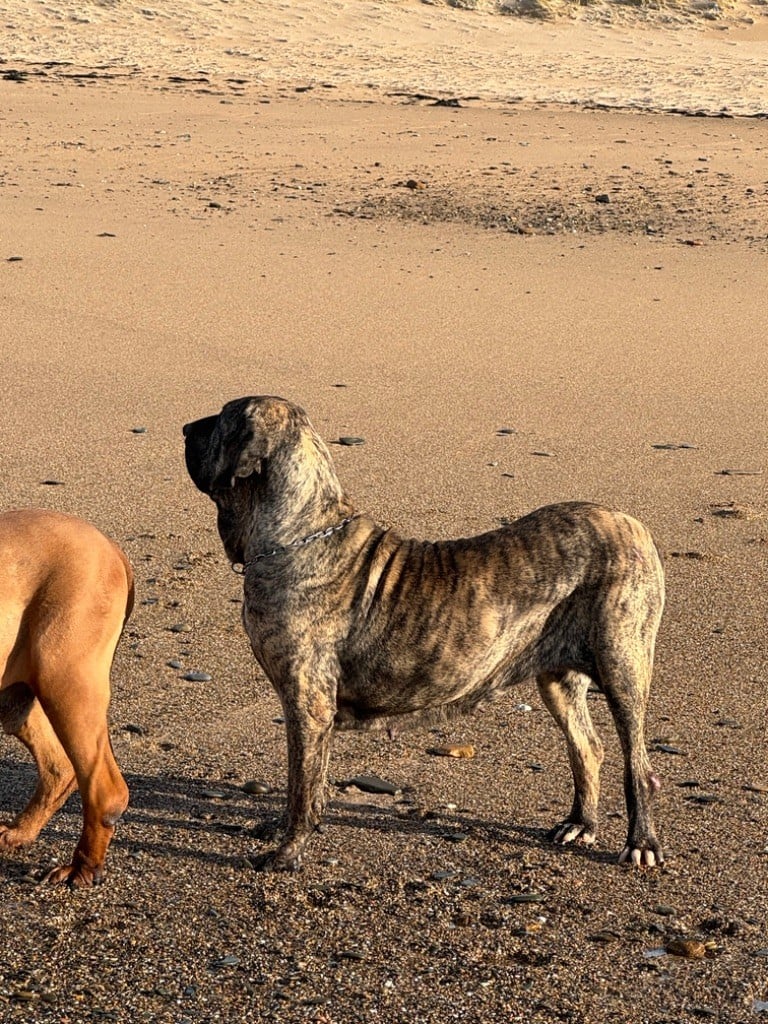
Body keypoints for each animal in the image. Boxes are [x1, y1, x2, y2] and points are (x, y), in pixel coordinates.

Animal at [0, 507, 133, 884]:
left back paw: (82, 867)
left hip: (64, 678)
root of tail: (109, 545)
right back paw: (20, 832)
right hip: (16, 696)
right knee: (59, 768)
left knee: (103, 787)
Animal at [185, 395, 667, 876]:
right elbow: (307, 783)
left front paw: (287, 852)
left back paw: (641, 842)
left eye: (221, 420)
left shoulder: (308, 703)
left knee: (637, 765)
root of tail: (632, 523)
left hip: (623, 666)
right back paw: (579, 823)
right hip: (557, 679)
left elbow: (301, 786)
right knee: (587, 747)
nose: (186, 428)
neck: (297, 533)